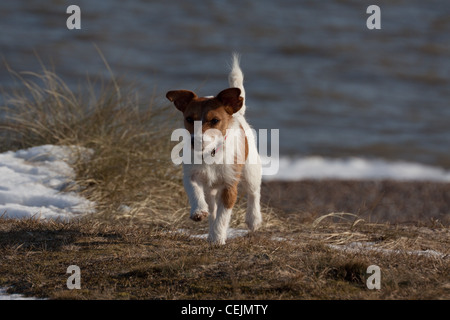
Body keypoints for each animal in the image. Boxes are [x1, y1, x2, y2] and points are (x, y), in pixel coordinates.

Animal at [167, 54, 262, 245]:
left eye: (215, 121)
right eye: (189, 119)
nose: (195, 142)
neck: (209, 155)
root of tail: (237, 113)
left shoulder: (229, 186)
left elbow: (223, 216)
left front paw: (219, 237)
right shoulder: (191, 175)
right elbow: (195, 192)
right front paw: (198, 211)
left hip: (251, 170)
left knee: (254, 192)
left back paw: (253, 219)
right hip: (211, 190)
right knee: (212, 208)